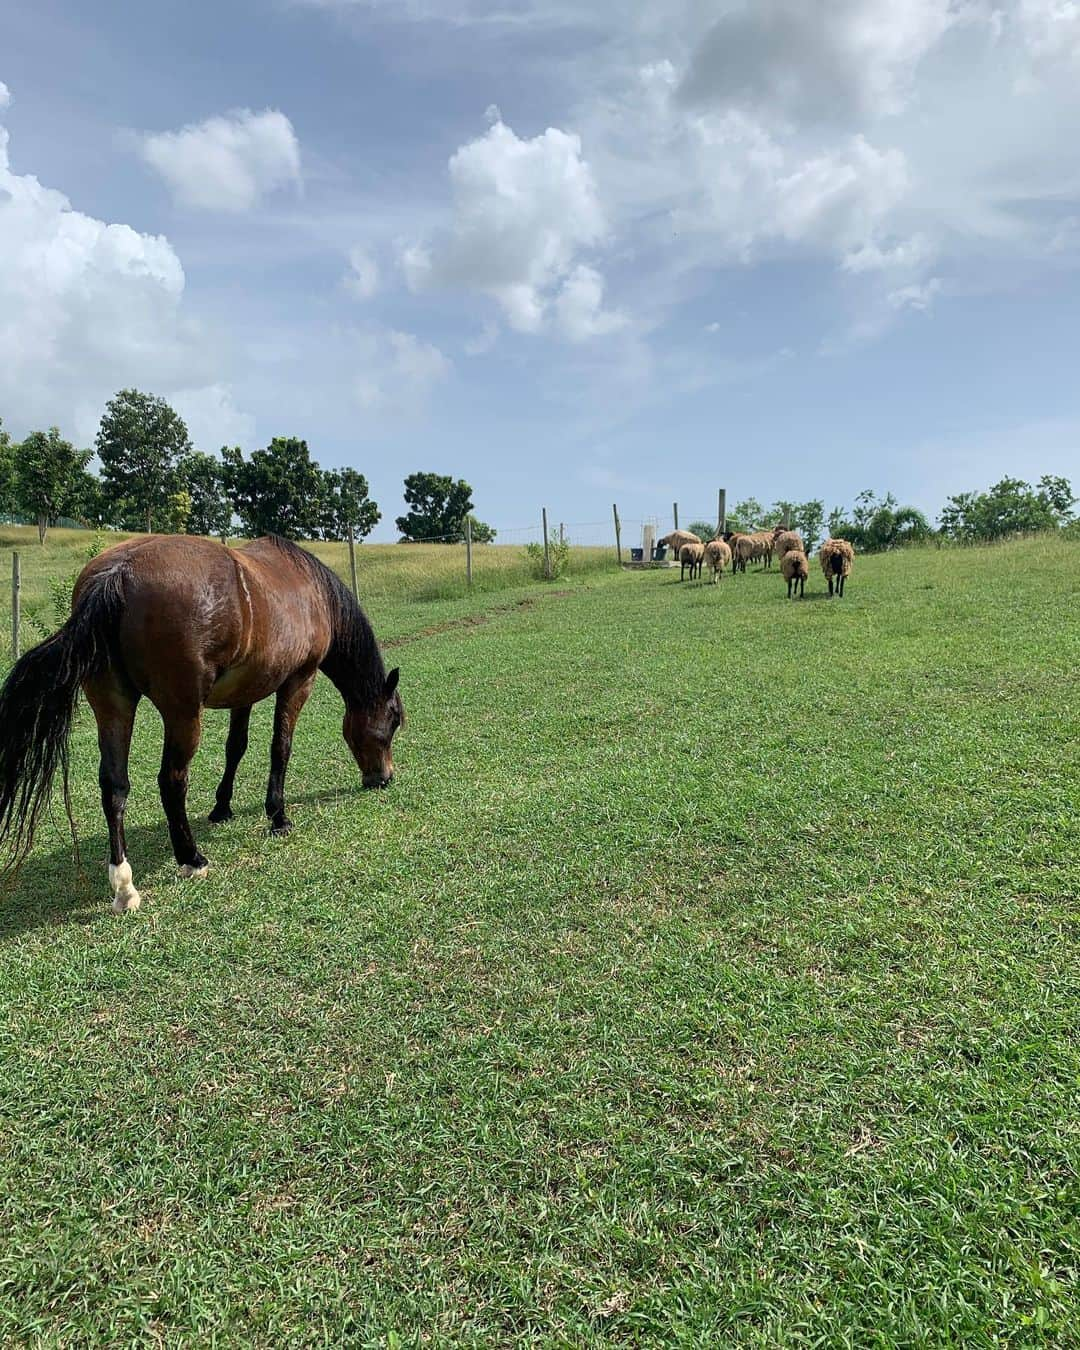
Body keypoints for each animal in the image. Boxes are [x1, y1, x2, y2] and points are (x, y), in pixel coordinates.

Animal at [0, 537, 402, 918]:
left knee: (114, 787)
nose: (384, 778)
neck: (312, 591)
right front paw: (278, 816)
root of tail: (118, 573)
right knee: (171, 780)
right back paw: (191, 858)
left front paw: (222, 808)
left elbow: (236, 747)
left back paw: (124, 886)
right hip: (183, 713)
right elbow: (280, 747)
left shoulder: (245, 691)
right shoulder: (298, 682)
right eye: (393, 721)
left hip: (113, 704)